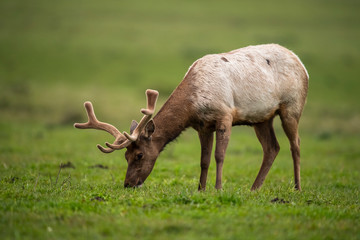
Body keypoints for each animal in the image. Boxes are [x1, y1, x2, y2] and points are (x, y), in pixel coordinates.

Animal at [74, 43, 308, 191]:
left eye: (139, 155)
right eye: (125, 156)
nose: (128, 184)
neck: (194, 102)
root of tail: (303, 65)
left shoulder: (225, 115)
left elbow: (219, 155)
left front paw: (218, 188)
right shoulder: (203, 126)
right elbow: (203, 160)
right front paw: (201, 189)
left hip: (292, 106)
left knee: (295, 144)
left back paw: (297, 187)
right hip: (261, 117)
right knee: (272, 147)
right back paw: (254, 188)